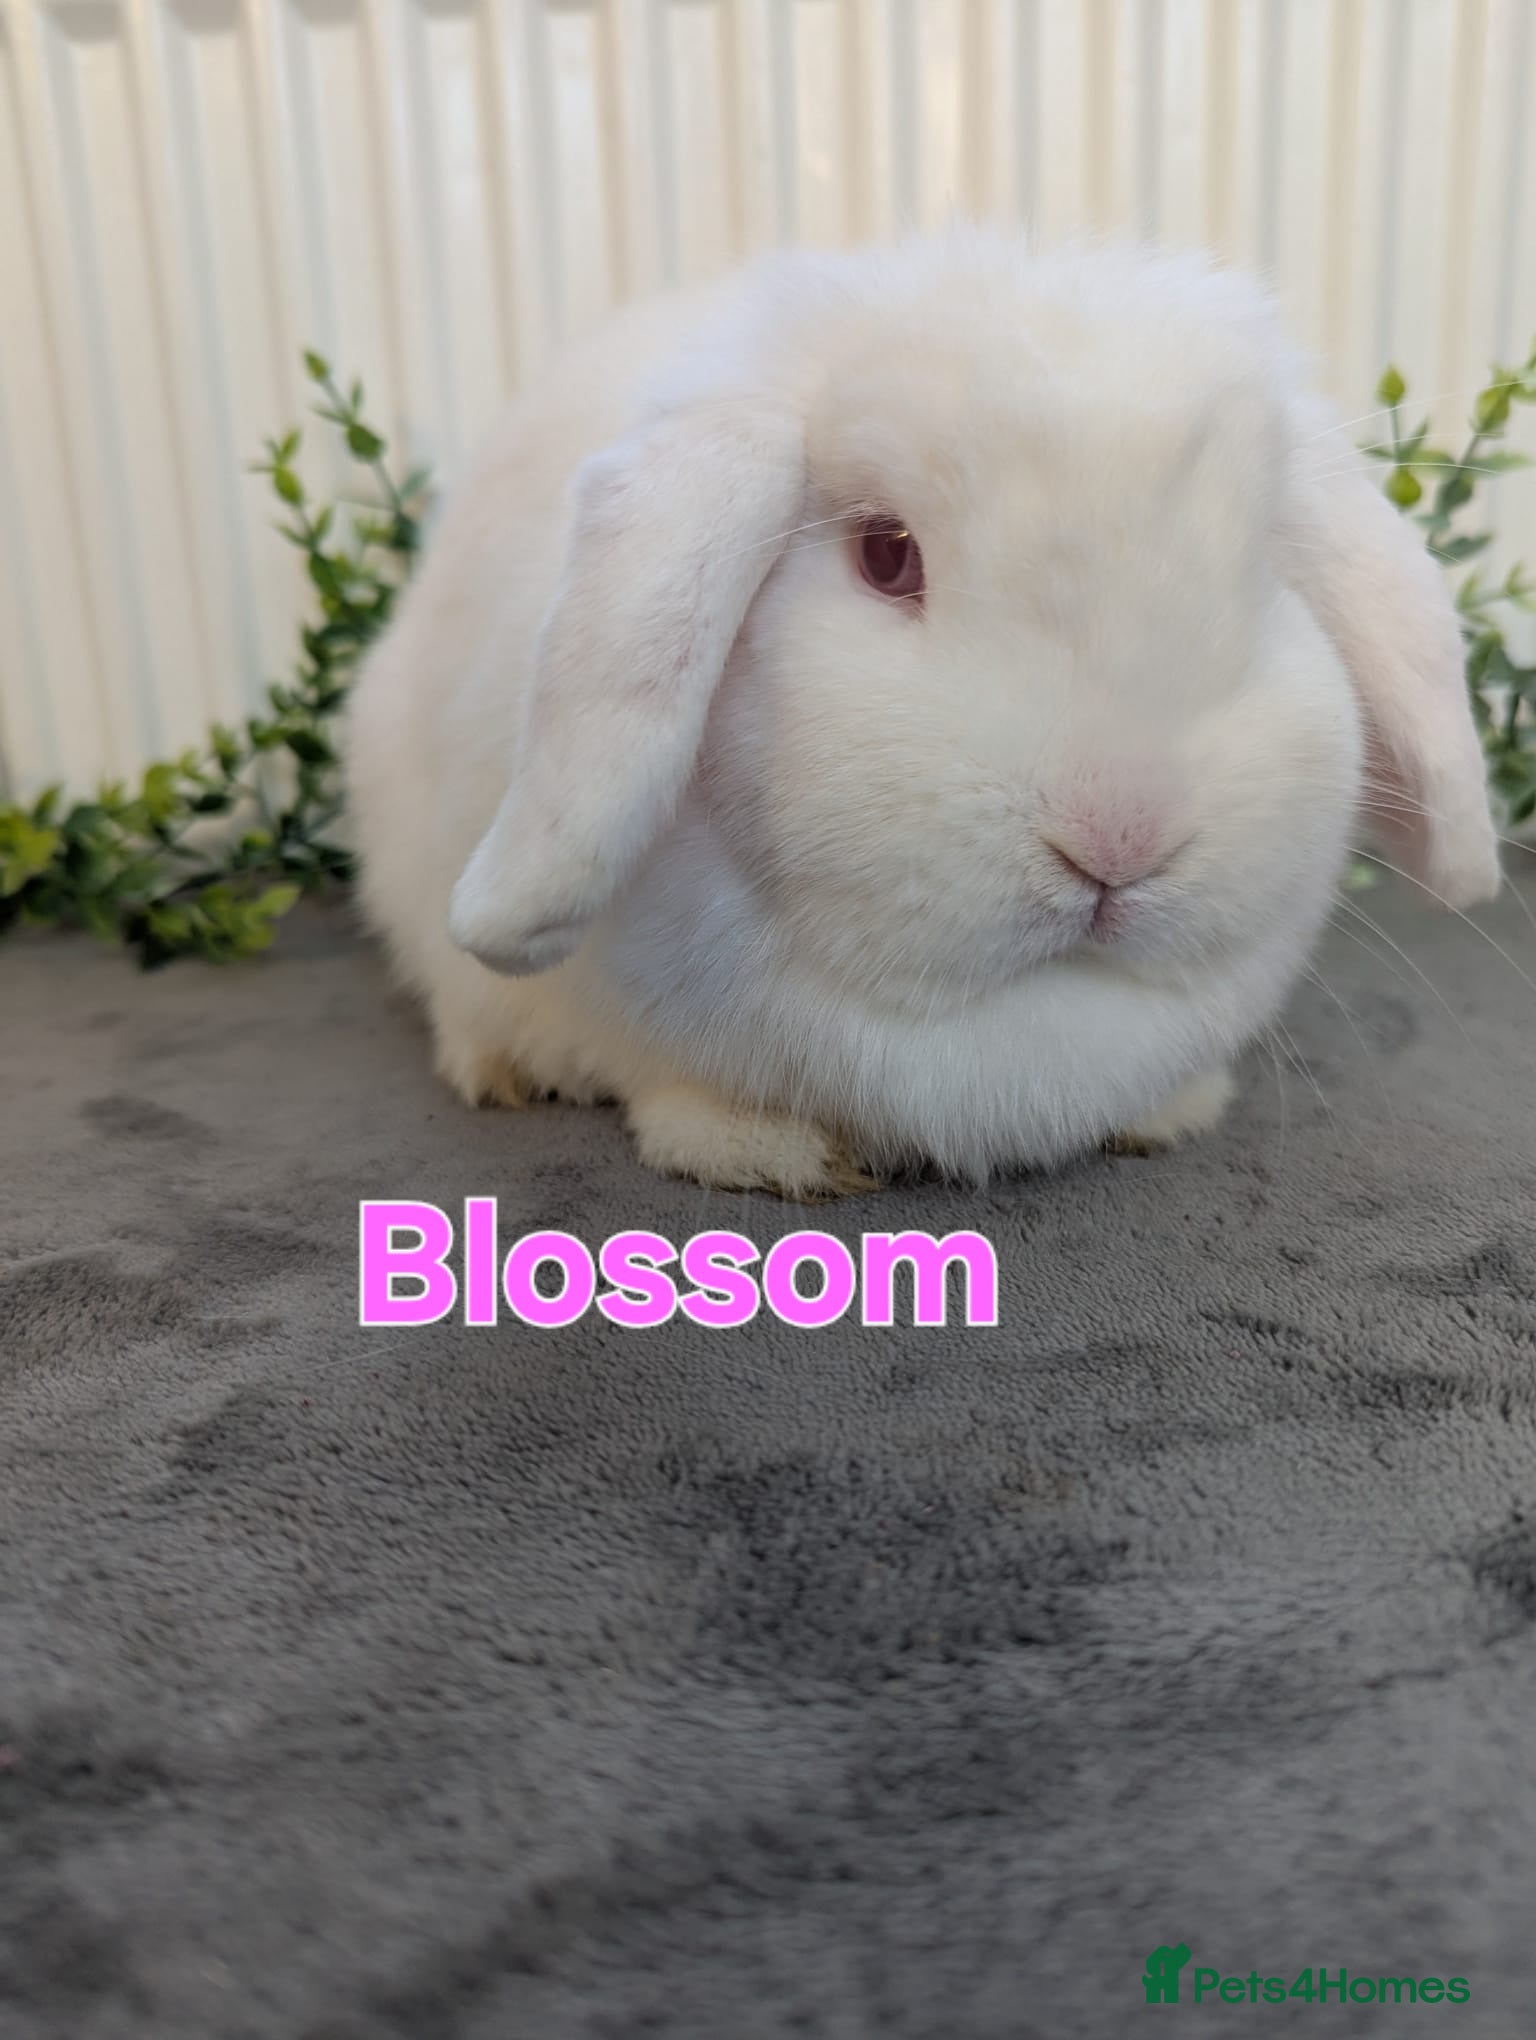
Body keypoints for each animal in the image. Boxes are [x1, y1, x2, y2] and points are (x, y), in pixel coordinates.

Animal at [345, 227, 1499, 1200]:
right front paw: (769, 1153)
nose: (1118, 838)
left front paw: (1171, 1114)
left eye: (1260, 577)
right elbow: (681, 1100)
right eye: (886, 556)